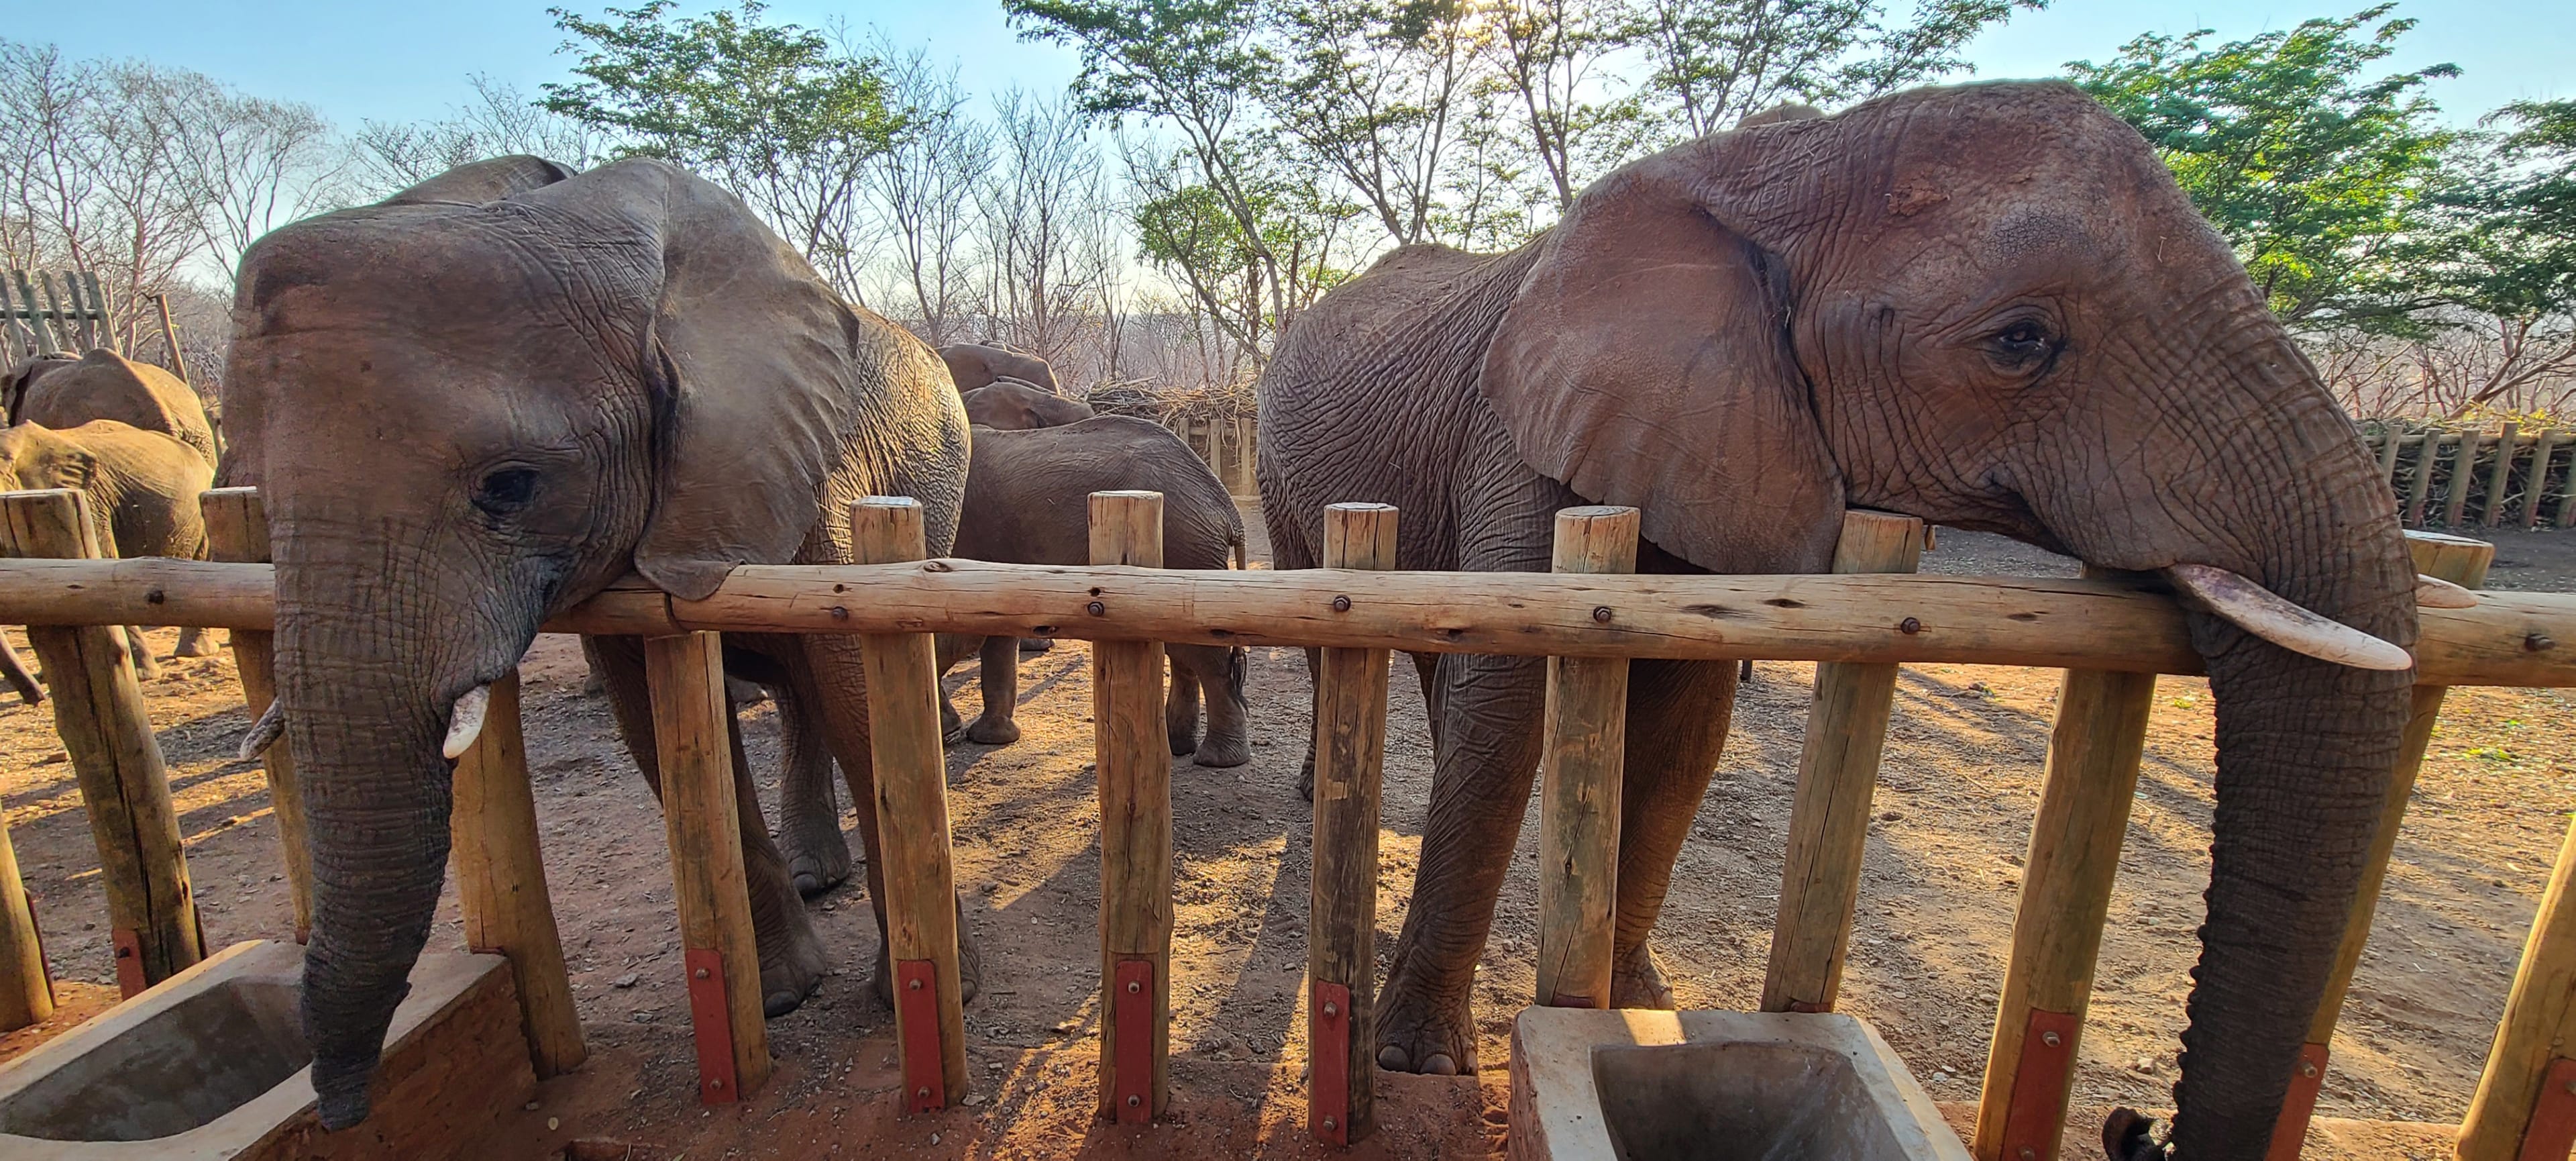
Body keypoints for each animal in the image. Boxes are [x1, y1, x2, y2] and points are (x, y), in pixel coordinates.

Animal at [221, 154, 974, 1130]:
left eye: (510, 485)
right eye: (257, 498)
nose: (342, 1110)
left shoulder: (818, 470)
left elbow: (859, 697)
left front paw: (925, 995)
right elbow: (653, 710)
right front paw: (781, 996)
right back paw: (816, 877)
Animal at [918, 415, 1250, 765]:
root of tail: (1228, 511)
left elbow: (957, 631)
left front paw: (950, 732)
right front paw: (987, 738)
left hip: (1182, 546)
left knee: (1202, 650)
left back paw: (1217, 759)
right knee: (1183, 648)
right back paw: (1178, 746)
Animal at [1256, 82, 2417, 1161]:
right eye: (2021, 340)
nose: (2134, 1126)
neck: (1769, 167)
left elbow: (1685, 734)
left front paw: (1642, 1006)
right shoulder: (1519, 435)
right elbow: (1507, 713)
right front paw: (1417, 1060)